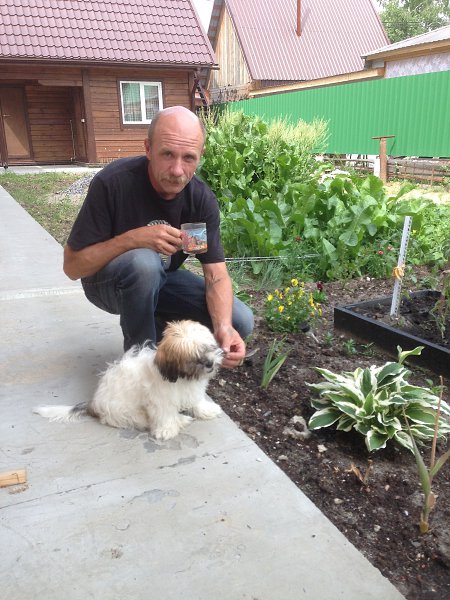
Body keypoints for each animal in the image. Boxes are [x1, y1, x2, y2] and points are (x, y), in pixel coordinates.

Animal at [33, 320, 223, 441]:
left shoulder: (191, 392)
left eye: (210, 347)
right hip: (127, 412)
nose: (209, 363)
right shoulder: (160, 401)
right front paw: (167, 429)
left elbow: (196, 402)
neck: (181, 378)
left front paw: (207, 409)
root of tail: (93, 403)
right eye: (193, 358)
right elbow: (164, 415)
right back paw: (181, 419)